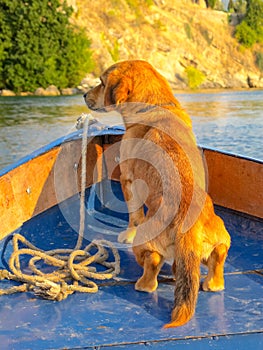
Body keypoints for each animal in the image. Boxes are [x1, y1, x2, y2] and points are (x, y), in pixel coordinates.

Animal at [84, 60, 231, 328]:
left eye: (101, 82)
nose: (83, 95)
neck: (155, 106)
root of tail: (189, 229)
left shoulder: (127, 179)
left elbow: (133, 216)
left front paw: (126, 233)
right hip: (222, 237)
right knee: (217, 261)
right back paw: (210, 281)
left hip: (145, 244)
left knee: (151, 264)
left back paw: (143, 284)